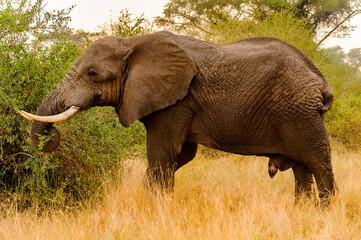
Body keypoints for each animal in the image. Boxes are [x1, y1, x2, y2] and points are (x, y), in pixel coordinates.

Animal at [19, 31, 334, 205]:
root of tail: (321, 81)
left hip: (300, 113)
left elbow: (163, 154)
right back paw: (301, 212)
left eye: (93, 74)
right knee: (302, 169)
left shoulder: (176, 101)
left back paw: (323, 212)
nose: (51, 138)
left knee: (318, 162)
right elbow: (180, 155)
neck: (133, 43)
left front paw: (156, 208)